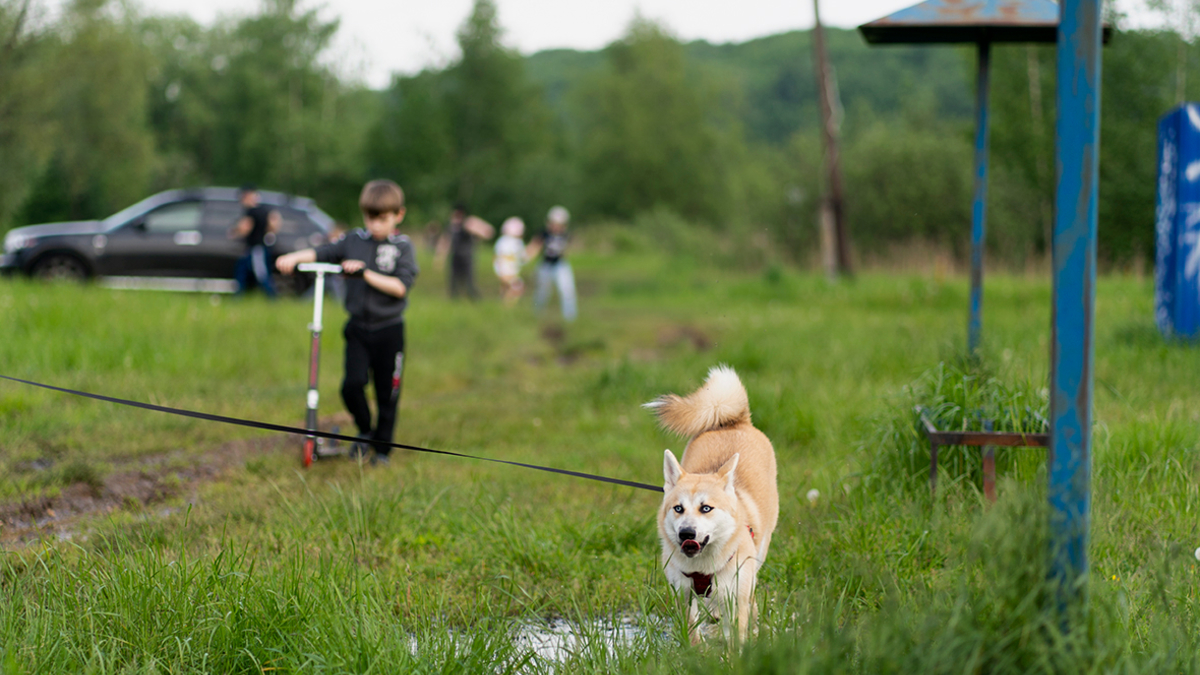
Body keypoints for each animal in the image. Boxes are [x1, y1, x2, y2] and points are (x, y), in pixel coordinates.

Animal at [648, 362, 777, 638]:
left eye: (706, 508)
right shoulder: (683, 595)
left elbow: (736, 637)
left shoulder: (735, 599)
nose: (686, 533)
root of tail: (733, 421)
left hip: (759, 553)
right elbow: (691, 632)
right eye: (678, 508)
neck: (703, 568)